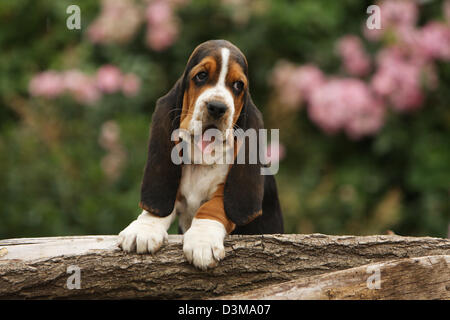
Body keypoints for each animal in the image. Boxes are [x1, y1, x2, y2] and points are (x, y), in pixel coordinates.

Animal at [118, 40, 284, 270]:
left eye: (238, 85)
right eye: (201, 76)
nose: (217, 107)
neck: (201, 162)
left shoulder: (225, 193)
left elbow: (212, 207)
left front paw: (202, 242)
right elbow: (163, 202)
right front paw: (143, 228)